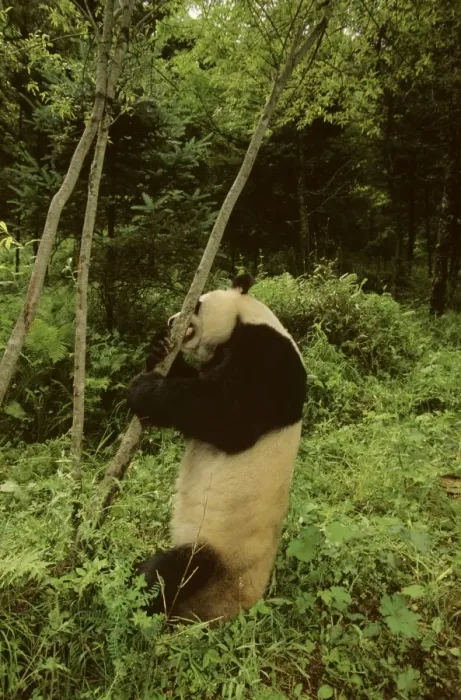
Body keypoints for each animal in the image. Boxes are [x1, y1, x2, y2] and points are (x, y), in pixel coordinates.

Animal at [127, 273, 306, 623]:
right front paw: (159, 349)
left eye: (197, 304)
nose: (171, 321)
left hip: (219, 552)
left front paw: (143, 389)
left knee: (176, 570)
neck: (247, 319)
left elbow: (224, 415)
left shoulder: (270, 364)